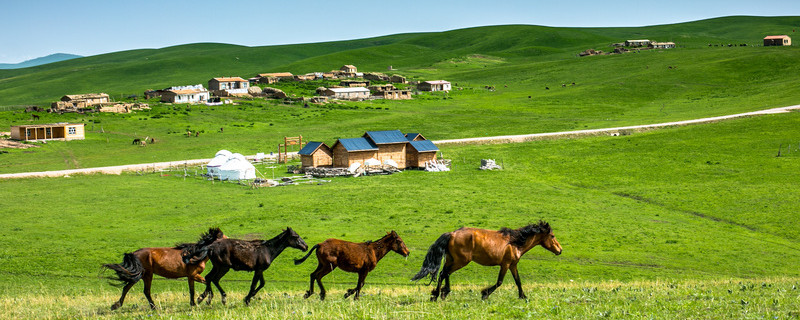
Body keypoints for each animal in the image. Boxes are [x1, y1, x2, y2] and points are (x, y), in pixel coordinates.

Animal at [412, 221, 564, 302]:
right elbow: (499, 282)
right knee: (444, 273)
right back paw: (438, 295)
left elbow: (518, 281)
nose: (560, 250)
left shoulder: (513, 265)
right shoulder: (505, 264)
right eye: (552, 236)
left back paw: (441, 293)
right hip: (461, 261)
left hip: (452, 259)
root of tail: (452, 234)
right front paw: (484, 294)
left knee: (444, 273)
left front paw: (523, 296)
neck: (515, 242)